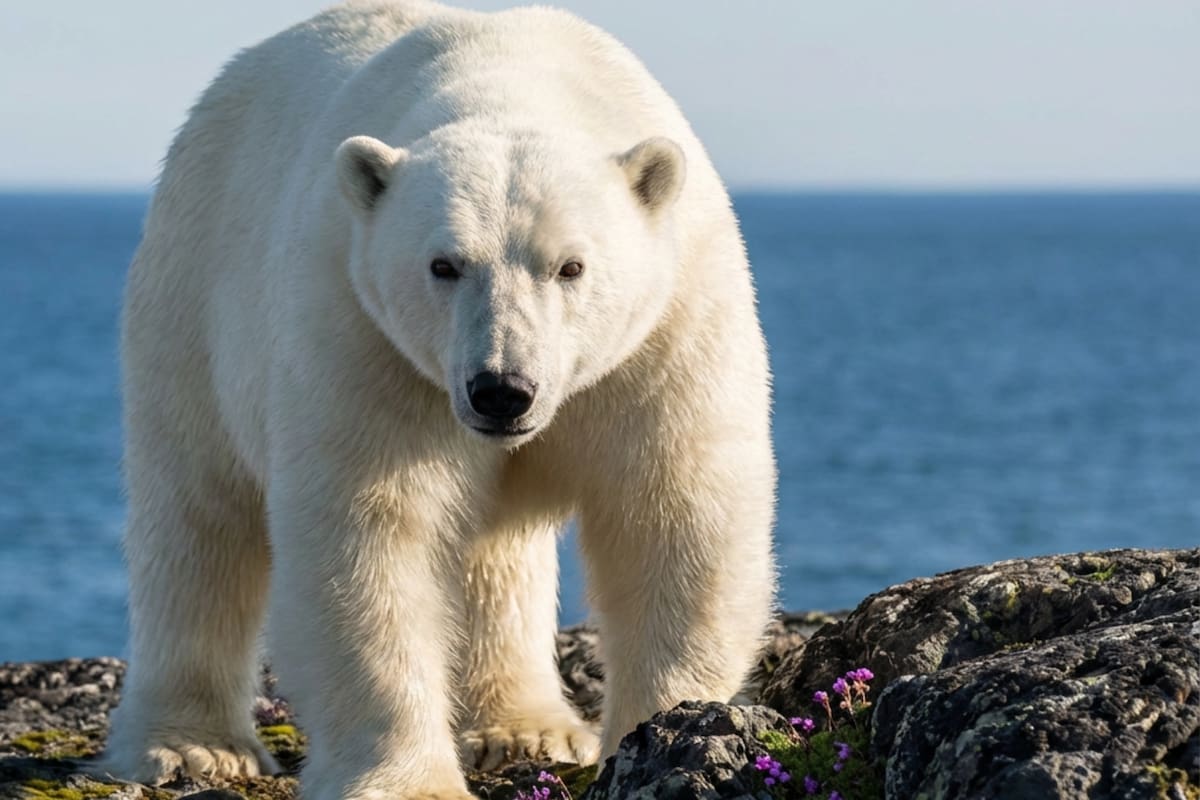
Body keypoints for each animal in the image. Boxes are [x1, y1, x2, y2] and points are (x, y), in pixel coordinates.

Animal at [102, 2, 776, 799]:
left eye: (571, 266)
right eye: (443, 265)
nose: (502, 391)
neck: (513, 78)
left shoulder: (666, 333)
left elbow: (675, 515)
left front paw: (668, 730)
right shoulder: (363, 337)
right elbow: (371, 536)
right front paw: (407, 780)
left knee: (496, 554)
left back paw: (521, 726)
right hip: (193, 291)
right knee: (198, 516)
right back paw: (190, 745)